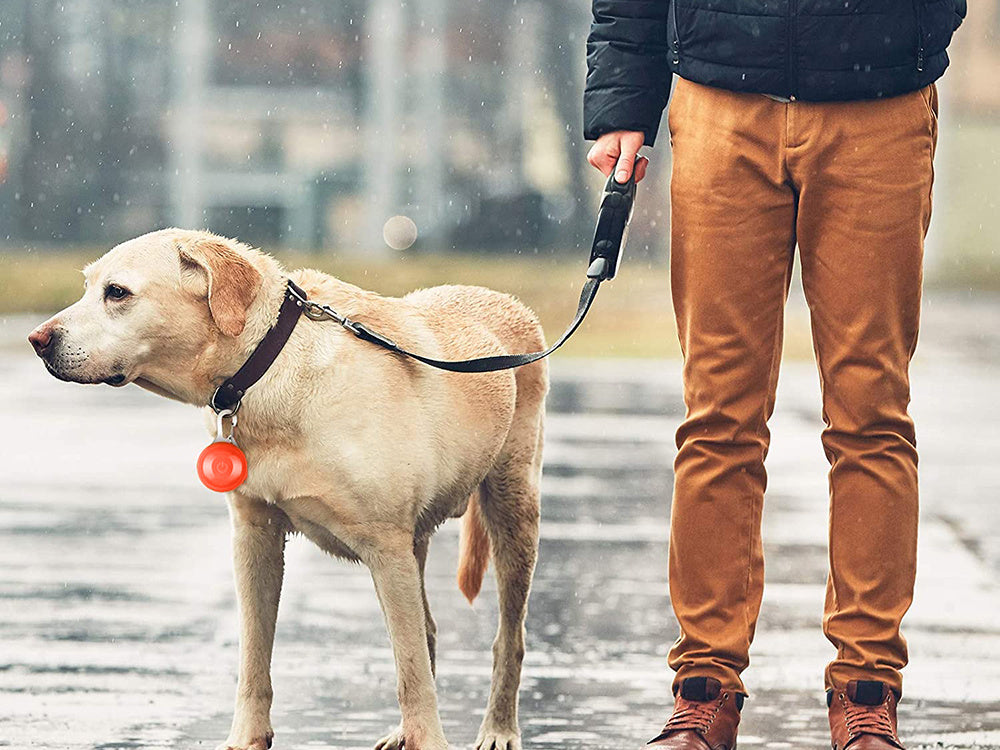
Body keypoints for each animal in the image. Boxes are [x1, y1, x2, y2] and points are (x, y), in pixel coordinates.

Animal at [27, 229, 548, 750]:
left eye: (117, 293)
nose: (37, 340)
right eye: (87, 286)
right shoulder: (255, 536)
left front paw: (430, 739)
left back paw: (499, 728)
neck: (268, 364)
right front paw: (246, 737)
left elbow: (411, 673)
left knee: (507, 638)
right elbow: (254, 658)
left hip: (512, 509)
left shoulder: (386, 548)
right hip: (416, 544)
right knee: (429, 632)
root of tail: (503, 298)